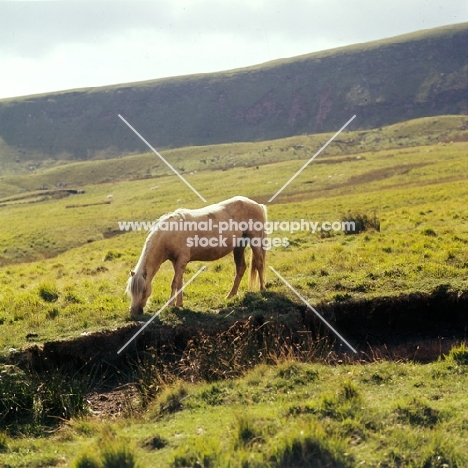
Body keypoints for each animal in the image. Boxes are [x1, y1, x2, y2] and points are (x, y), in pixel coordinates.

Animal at [127, 196, 266, 316]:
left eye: (144, 290)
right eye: (130, 291)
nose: (134, 312)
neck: (170, 233)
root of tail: (257, 205)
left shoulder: (181, 260)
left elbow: (174, 282)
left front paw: (171, 305)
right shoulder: (177, 262)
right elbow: (180, 282)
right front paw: (179, 304)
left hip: (254, 241)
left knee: (259, 264)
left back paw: (262, 289)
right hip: (239, 246)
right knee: (241, 268)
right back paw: (231, 295)